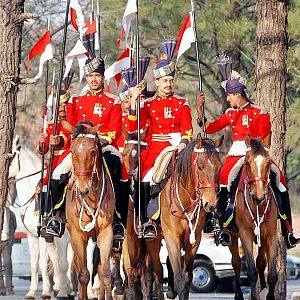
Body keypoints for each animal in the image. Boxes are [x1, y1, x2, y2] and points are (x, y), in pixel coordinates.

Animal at [66, 122, 115, 300]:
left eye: (92, 151)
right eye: (72, 151)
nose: (82, 190)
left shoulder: (106, 232)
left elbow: (106, 274)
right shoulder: (77, 235)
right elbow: (83, 275)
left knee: (100, 270)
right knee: (79, 267)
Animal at [161, 135, 221, 298]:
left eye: (220, 166)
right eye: (199, 166)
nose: (210, 204)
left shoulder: (194, 240)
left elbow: (187, 277)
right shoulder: (171, 237)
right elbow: (180, 279)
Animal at [230, 136, 278, 300]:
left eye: (268, 162)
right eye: (247, 162)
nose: (259, 197)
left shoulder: (271, 235)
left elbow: (272, 274)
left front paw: (269, 295)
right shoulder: (245, 235)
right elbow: (251, 272)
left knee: (261, 262)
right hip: (233, 236)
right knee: (236, 262)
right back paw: (239, 295)